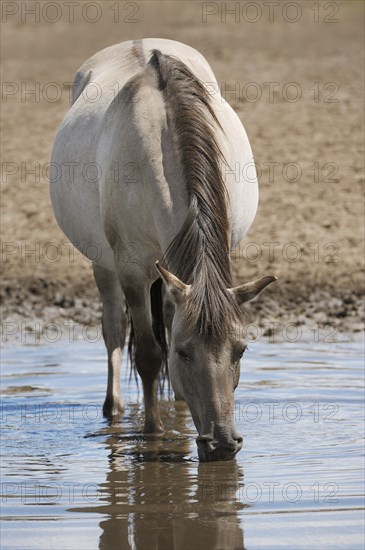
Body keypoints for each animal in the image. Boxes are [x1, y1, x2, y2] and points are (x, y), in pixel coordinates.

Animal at [49, 36, 274, 464]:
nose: (222, 445)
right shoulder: (132, 270)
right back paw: (115, 410)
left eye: (240, 351)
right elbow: (151, 355)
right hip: (103, 263)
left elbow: (165, 333)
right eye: (185, 354)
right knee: (114, 329)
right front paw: (152, 434)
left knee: (164, 317)